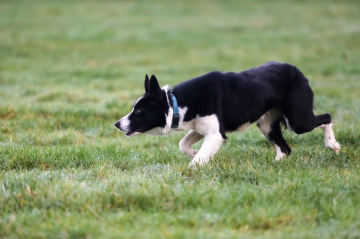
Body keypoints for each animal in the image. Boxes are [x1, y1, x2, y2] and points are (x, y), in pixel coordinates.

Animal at [115, 61, 340, 166]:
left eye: (139, 110)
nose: (117, 124)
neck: (178, 103)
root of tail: (297, 71)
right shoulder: (201, 127)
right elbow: (183, 144)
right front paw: (194, 153)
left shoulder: (216, 134)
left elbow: (196, 160)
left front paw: (191, 167)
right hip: (266, 124)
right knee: (285, 148)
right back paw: (275, 164)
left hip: (298, 120)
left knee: (327, 117)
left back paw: (333, 145)